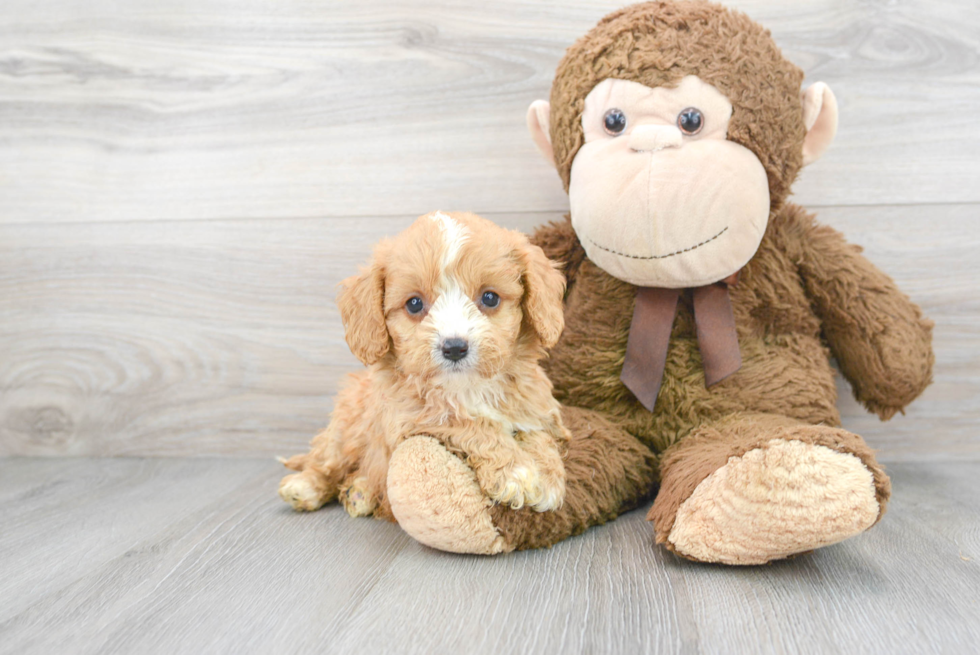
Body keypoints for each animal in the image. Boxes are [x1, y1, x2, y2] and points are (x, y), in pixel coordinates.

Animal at [278, 210, 568, 524]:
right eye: (414, 304)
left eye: (490, 298)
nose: (454, 347)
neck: (468, 388)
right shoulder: (414, 418)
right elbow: (470, 423)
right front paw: (517, 472)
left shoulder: (539, 408)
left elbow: (538, 433)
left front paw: (549, 475)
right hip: (347, 428)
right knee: (327, 462)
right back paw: (305, 487)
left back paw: (360, 493)